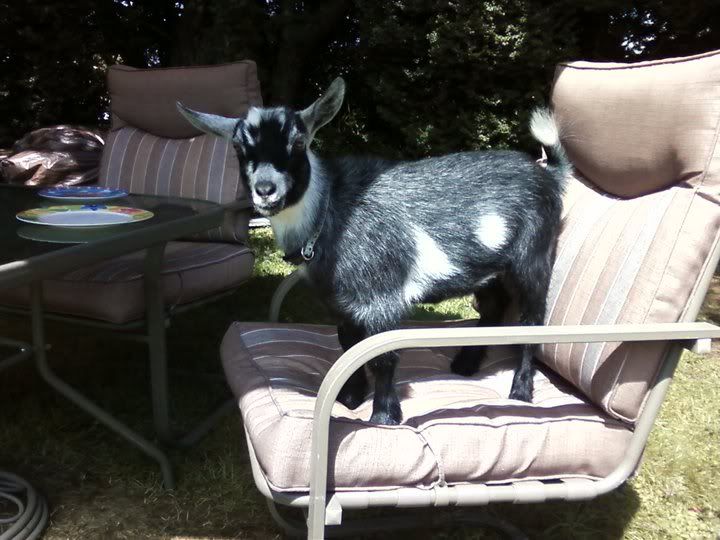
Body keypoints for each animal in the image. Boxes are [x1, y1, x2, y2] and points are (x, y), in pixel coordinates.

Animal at [178, 78, 569, 425]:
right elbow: (348, 344)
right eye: (238, 147)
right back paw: (466, 365)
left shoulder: (382, 297)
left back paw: (521, 391)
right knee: (493, 307)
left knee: (531, 321)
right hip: (488, 270)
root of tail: (549, 175)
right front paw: (351, 398)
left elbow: (383, 356)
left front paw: (383, 416)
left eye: (299, 141)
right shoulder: (342, 303)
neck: (330, 211)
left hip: (533, 258)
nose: (265, 189)